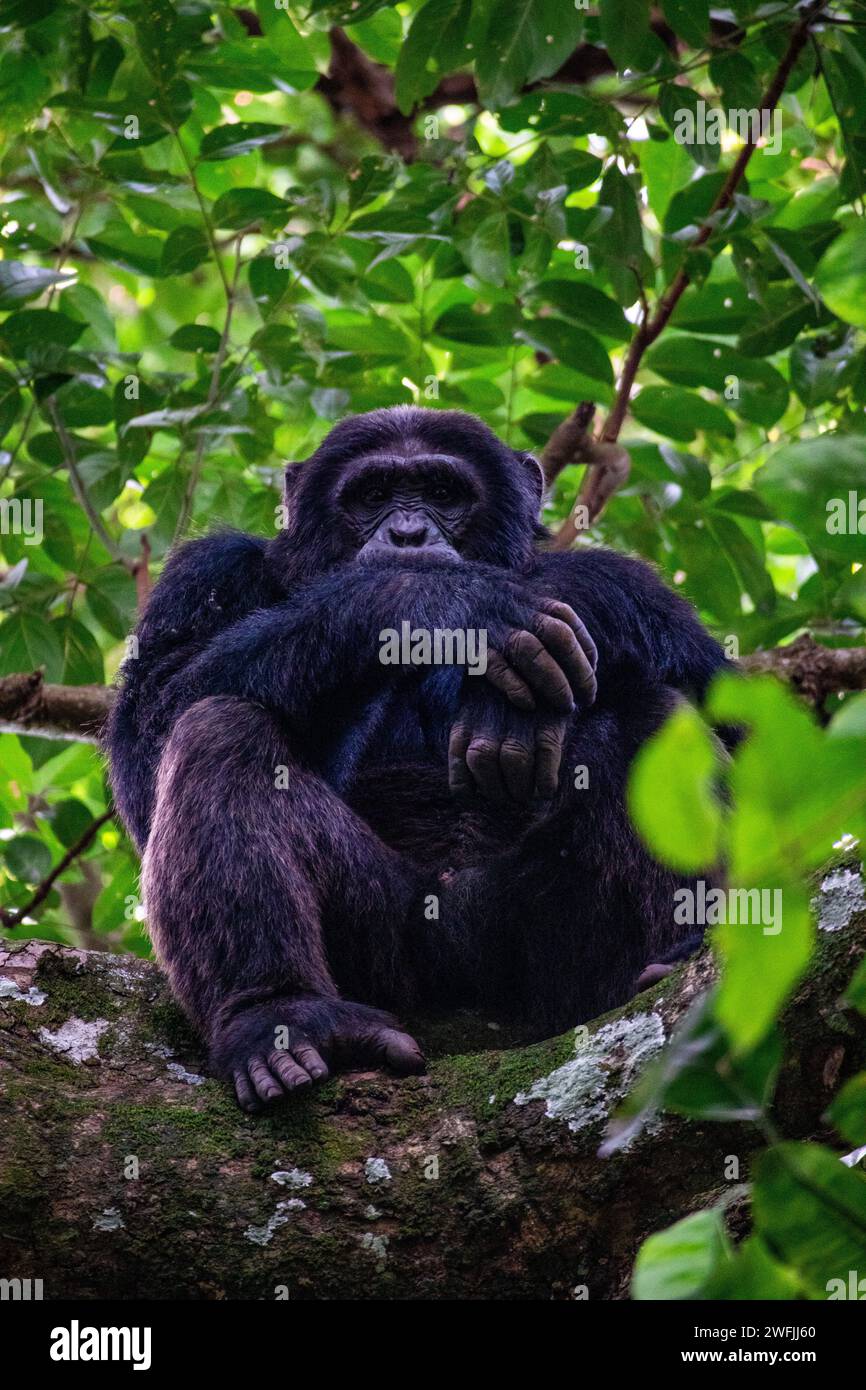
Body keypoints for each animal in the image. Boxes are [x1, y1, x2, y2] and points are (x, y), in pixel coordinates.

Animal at [109, 405, 733, 1112]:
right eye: (373, 494)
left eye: (442, 491)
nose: (408, 534)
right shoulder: (206, 575)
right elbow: (154, 717)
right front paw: (448, 601)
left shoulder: (646, 596)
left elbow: (742, 724)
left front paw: (556, 609)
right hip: (385, 949)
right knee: (218, 730)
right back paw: (279, 1020)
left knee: (651, 716)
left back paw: (673, 960)